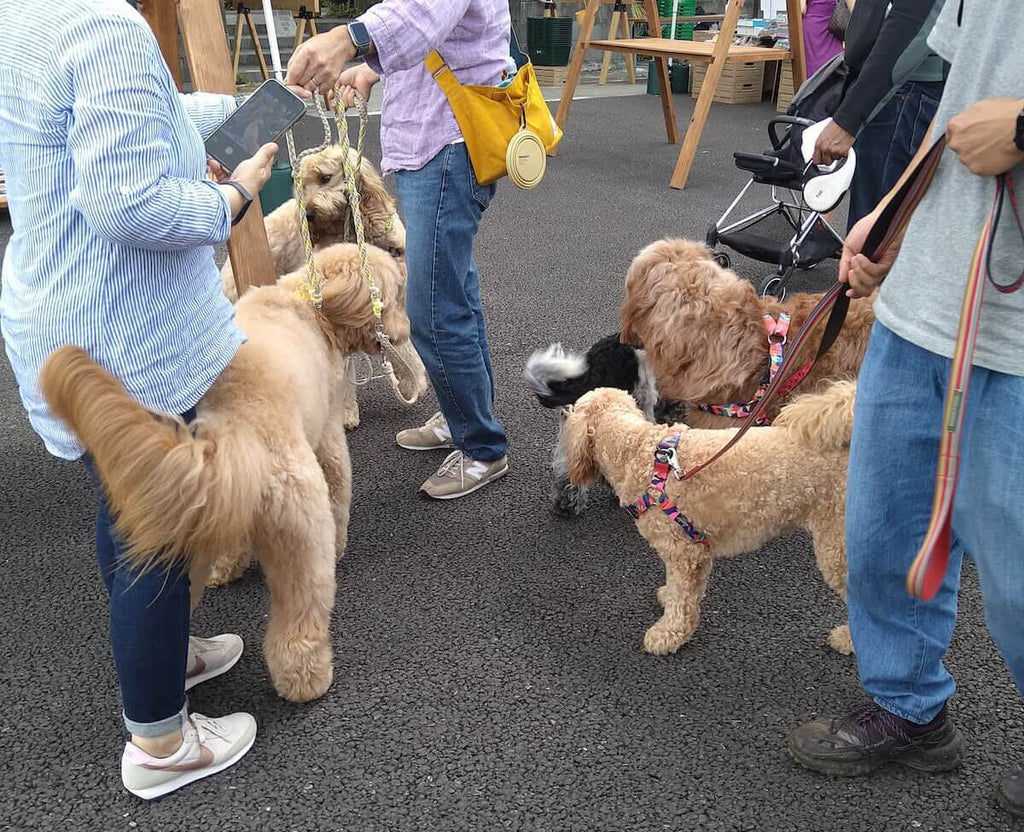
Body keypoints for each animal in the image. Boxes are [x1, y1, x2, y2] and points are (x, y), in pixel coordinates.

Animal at [41, 243, 425, 704]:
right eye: (397, 295)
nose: (404, 330)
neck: (309, 303)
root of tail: (235, 438)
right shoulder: (329, 435)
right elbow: (340, 490)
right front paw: (341, 544)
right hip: (301, 539)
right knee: (299, 620)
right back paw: (306, 678)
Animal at [565, 381, 851, 655]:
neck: (635, 448)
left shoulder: (681, 551)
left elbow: (681, 598)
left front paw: (668, 635)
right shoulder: (694, 550)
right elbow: (685, 592)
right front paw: (670, 600)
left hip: (837, 545)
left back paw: (847, 640)